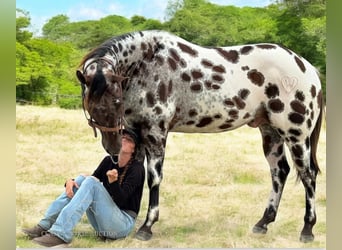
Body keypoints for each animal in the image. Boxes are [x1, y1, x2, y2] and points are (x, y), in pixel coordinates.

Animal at [75, 29, 324, 242]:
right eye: (90, 103)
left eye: (117, 101)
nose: (113, 147)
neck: (147, 65)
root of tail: (306, 67)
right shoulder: (138, 134)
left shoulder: (156, 132)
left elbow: (154, 178)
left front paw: (147, 227)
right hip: (271, 133)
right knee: (279, 172)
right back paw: (263, 223)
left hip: (296, 135)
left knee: (308, 175)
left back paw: (307, 229)